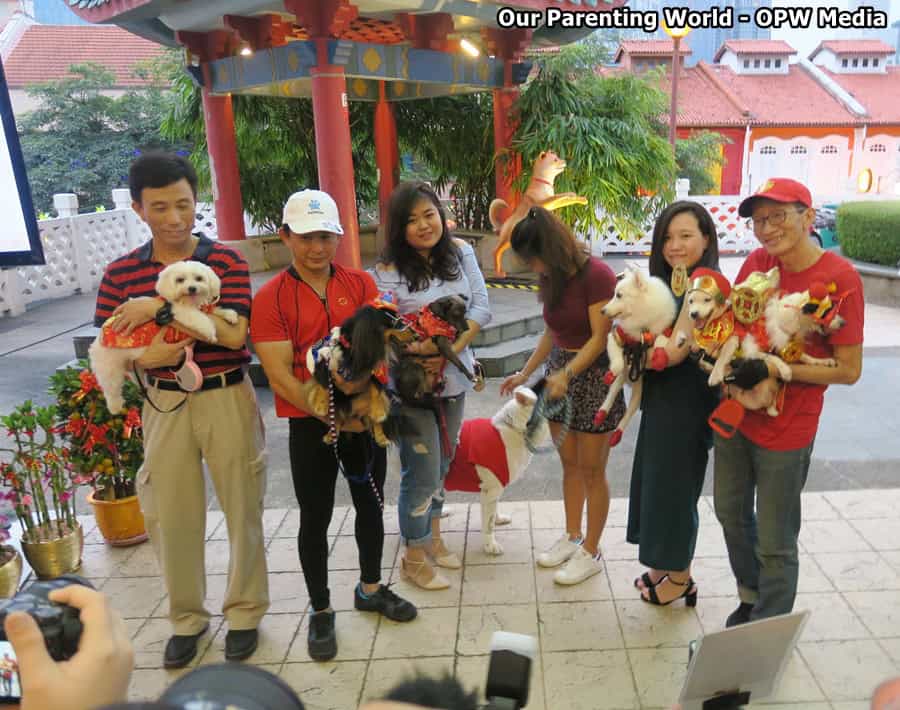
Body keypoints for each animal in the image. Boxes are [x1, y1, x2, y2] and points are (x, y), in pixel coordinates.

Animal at [86, 260, 236, 414]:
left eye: (199, 278)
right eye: (180, 280)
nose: (192, 288)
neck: (188, 303)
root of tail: (98, 341)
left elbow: (214, 311)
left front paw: (229, 315)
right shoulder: (181, 313)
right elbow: (200, 319)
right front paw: (210, 332)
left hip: (134, 365)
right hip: (110, 369)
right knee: (111, 389)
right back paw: (115, 407)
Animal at [444, 384, 548, 556]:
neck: (515, 427)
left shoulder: (495, 488)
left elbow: (493, 512)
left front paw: (498, 519)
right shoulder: (491, 490)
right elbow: (488, 523)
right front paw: (490, 546)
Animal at [592, 270, 676, 448]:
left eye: (619, 295)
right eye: (614, 294)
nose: (602, 310)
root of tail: (630, 381)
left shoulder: (663, 331)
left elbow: (662, 340)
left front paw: (659, 357)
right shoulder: (615, 337)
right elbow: (617, 364)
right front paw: (610, 373)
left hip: (639, 389)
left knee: (630, 410)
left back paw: (618, 432)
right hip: (626, 378)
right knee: (613, 391)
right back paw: (602, 412)